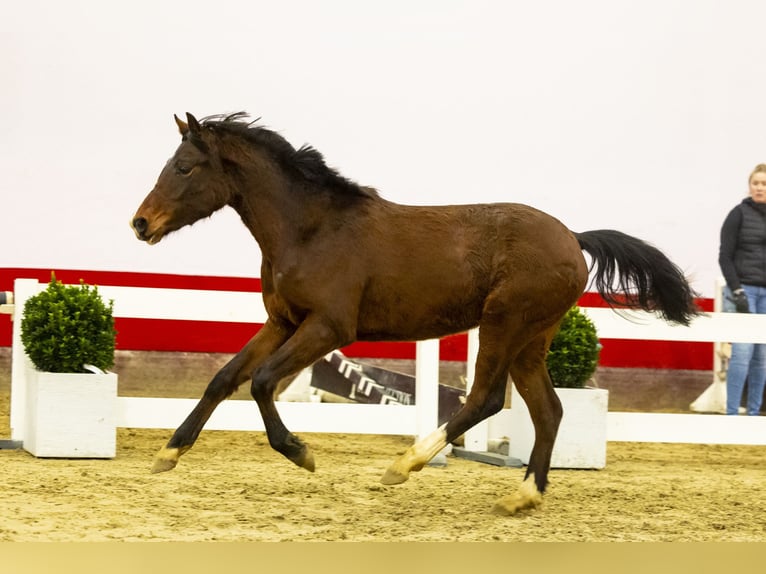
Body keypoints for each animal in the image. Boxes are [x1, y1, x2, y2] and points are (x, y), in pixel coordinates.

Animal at [132, 113, 704, 516]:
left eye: (183, 167)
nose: (141, 223)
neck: (310, 230)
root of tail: (573, 238)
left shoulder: (328, 327)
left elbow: (263, 381)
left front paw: (300, 452)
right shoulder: (283, 324)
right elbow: (224, 378)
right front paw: (168, 453)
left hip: (505, 324)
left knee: (485, 399)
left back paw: (404, 465)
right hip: (532, 339)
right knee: (548, 411)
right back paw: (523, 496)